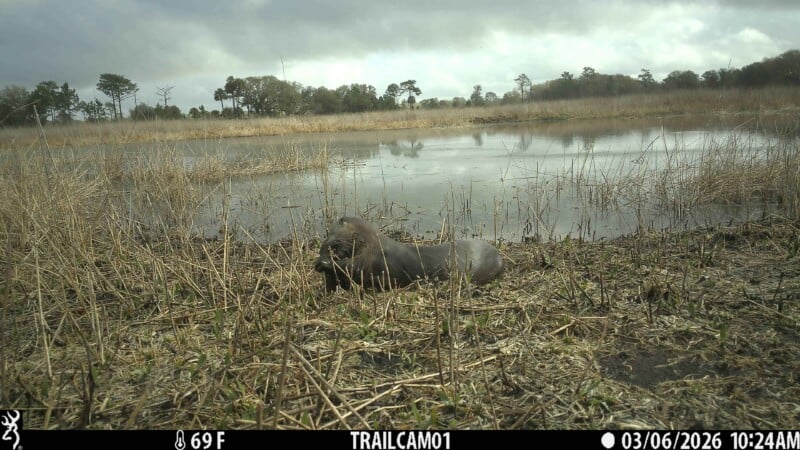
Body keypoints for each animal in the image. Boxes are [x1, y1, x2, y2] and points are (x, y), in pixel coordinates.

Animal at [314, 217, 503, 292]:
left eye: (336, 242)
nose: (327, 248)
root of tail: (500, 257)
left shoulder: (372, 260)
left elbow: (352, 268)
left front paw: (325, 263)